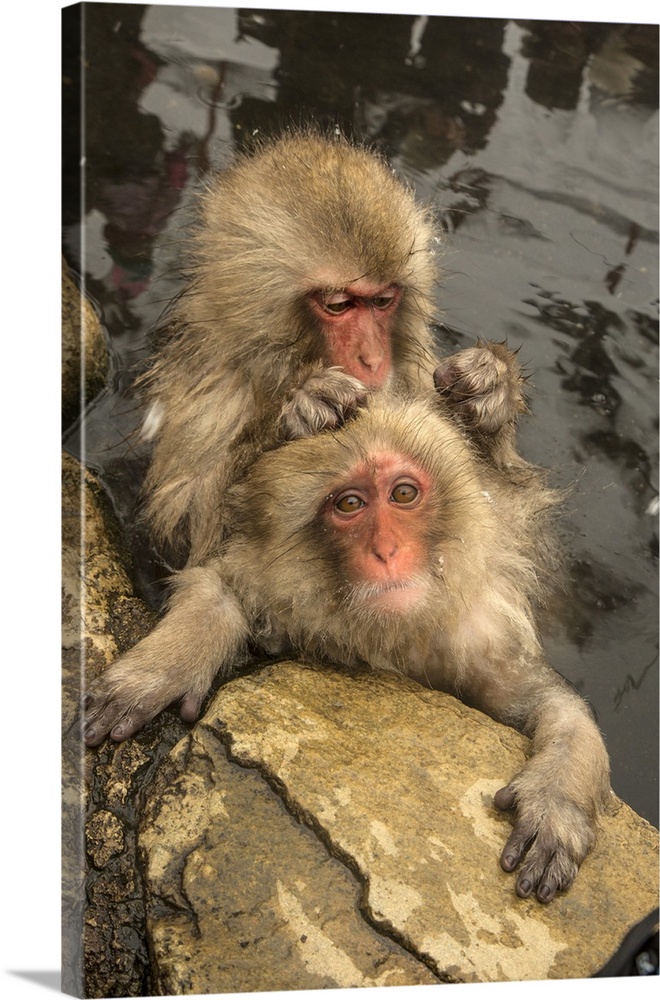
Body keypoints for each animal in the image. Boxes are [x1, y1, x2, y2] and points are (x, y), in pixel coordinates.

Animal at [85, 392, 612, 908]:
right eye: (350, 504)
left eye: (403, 494)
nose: (386, 551)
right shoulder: (280, 589)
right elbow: (221, 589)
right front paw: (162, 669)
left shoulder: (472, 643)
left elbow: (555, 704)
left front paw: (557, 804)